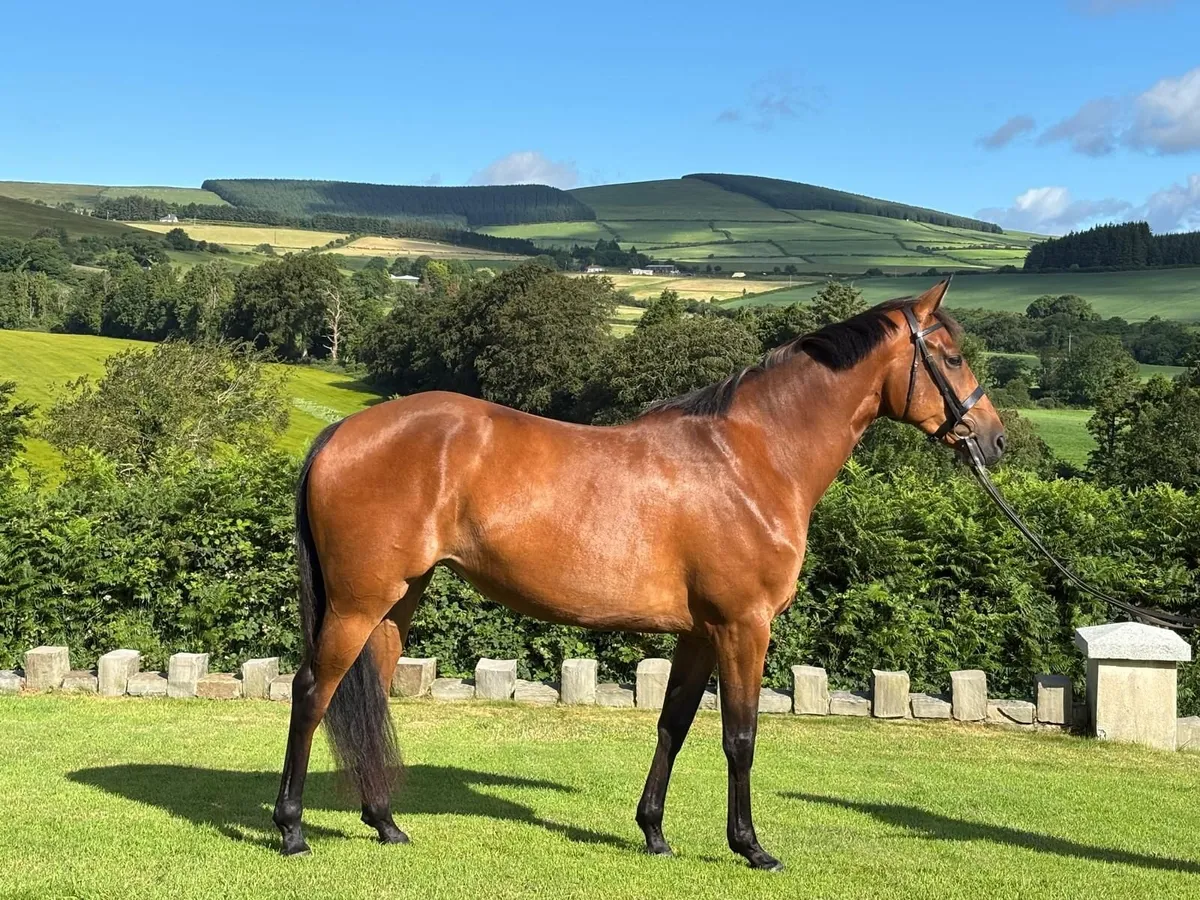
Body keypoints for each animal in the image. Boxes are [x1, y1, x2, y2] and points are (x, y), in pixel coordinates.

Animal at [272, 278, 1006, 870]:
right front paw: (750, 846)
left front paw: (653, 833)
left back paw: (386, 824)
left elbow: (673, 726)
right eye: (949, 355)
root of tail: (342, 432)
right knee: (312, 691)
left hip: (396, 601)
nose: (995, 439)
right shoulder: (744, 628)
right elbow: (740, 737)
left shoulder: (701, 633)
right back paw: (291, 830)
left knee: (365, 693)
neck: (751, 459)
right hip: (359, 603)